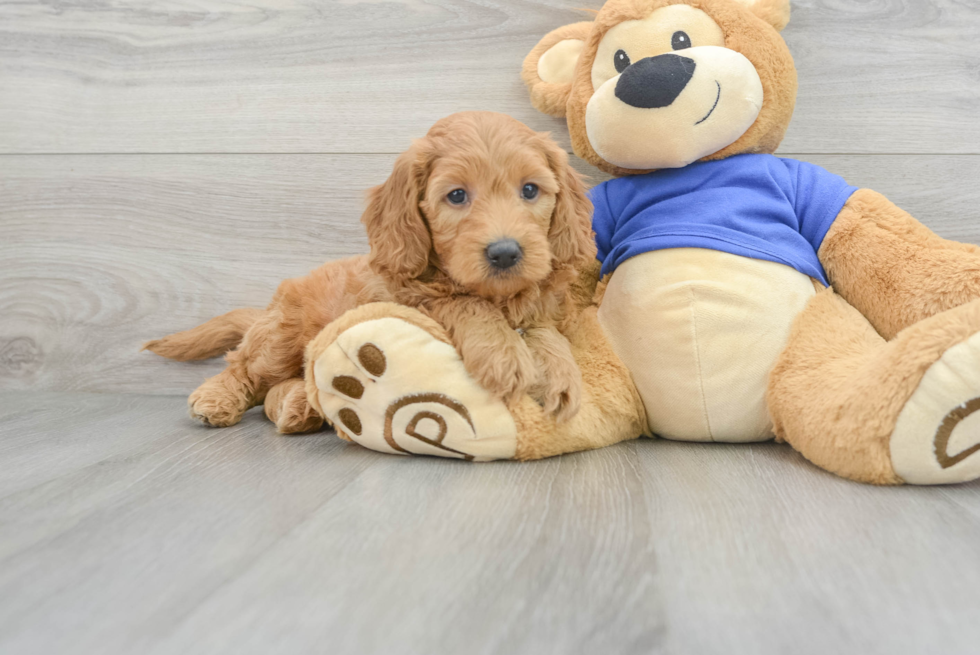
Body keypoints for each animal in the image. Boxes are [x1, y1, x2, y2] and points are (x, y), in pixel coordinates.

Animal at [144, 111, 588, 434]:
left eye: (529, 190)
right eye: (457, 195)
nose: (505, 253)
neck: (500, 296)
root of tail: (267, 310)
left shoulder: (543, 306)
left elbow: (545, 330)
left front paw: (560, 372)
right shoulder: (404, 299)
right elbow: (461, 302)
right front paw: (504, 353)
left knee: (279, 389)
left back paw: (301, 406)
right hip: (282, 336)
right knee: (245, 367)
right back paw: (217, 399)